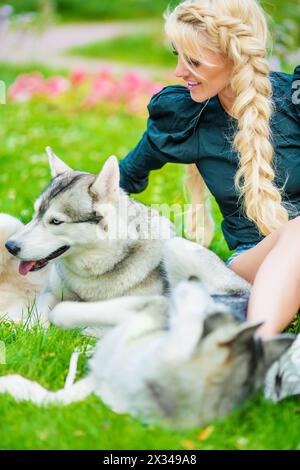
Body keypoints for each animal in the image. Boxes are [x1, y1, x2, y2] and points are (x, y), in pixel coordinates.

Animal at [0, 241, 292, 428]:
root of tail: (247, 290)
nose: (193, 281)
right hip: (176, 247)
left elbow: (70, 313)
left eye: (205, 312)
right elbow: (52, 397)